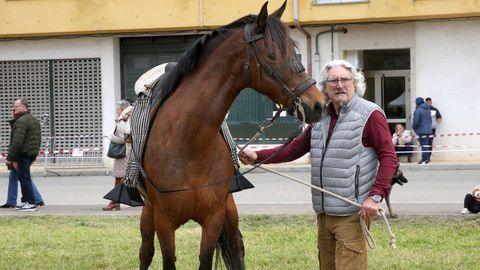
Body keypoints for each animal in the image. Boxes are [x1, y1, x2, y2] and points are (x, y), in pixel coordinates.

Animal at [139, 1, 326, 268]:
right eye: (272, 55)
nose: (318, 104)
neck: (188, 142)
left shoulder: (214, 217)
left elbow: (207, 259)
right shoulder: (164, 221)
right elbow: (167, 259)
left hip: (229, 208)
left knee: (236, 248)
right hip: (149, 211)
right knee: (146, 251)